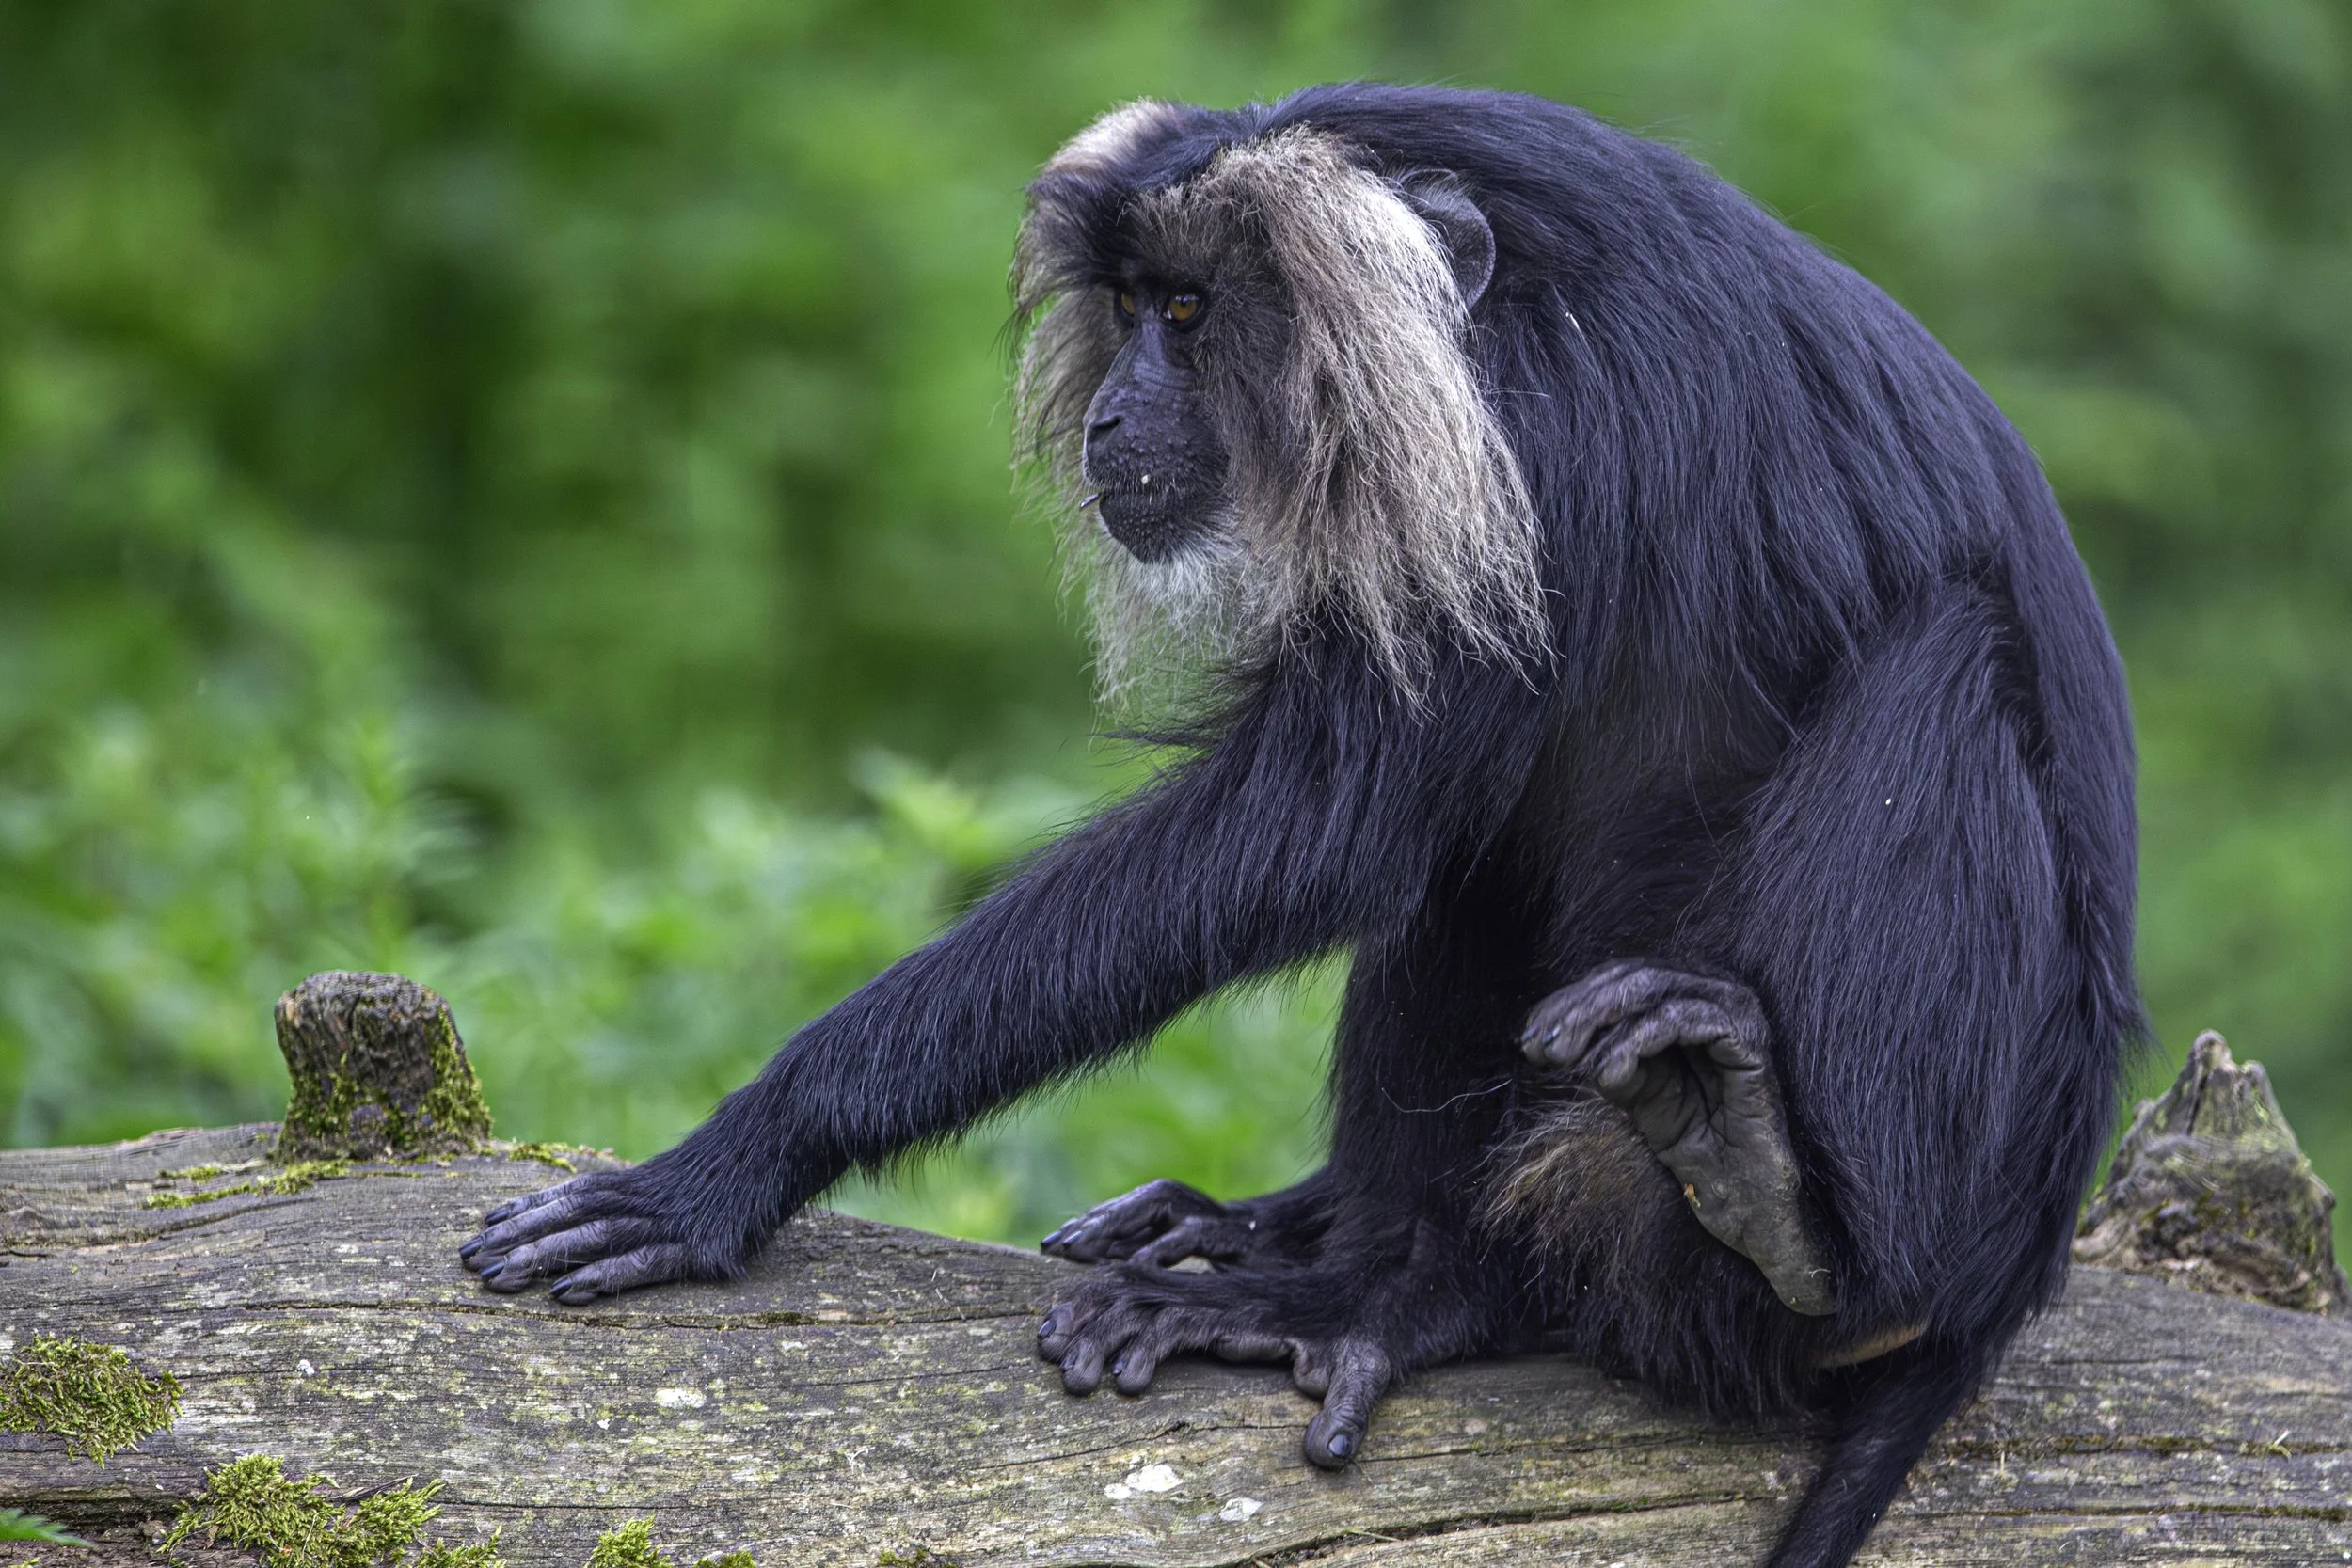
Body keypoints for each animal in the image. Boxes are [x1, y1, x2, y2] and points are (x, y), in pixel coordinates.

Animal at [459, 85, 2139, 1568]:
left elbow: (1324, 820)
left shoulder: (1537, 438)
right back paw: (1360, 1256)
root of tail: (2013, 1271)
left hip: (1956, 1169)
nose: (1116, 412)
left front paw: (733, 1159)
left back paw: (1741, 1225)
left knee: (1941, 673)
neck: (1493, 308)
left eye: (1191, 312)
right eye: (1130, 307)